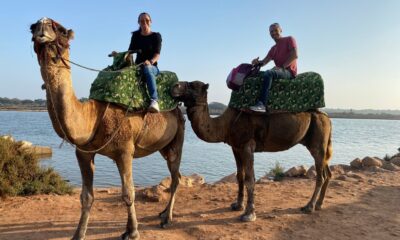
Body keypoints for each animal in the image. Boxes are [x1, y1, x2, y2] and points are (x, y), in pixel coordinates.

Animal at [30, 17, 184, 240]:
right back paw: (163, 213)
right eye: (32, 28)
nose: (42, 27)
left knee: (175, 177)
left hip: (178, 137)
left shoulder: (124, 151)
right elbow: (86, 196)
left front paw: (133, 232)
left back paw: (167, 219)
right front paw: (78, 234)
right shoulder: (83, 152)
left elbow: (128, 193)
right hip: (164, 145)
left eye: (60, 30)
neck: (93, 116)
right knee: (176, 176)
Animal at [171, 81, 332, 222]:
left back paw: (309, 206)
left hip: (318, 139)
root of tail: (327, 118)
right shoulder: (236, 147)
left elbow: (250, 179)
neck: (225, 124)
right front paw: (237, 205)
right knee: (327, 172)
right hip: (318, 142)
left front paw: (249, 214)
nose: (175, 86)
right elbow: (240, 176)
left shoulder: (247, 146)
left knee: (321, 175)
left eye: (192, 85)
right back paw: (319, 204)